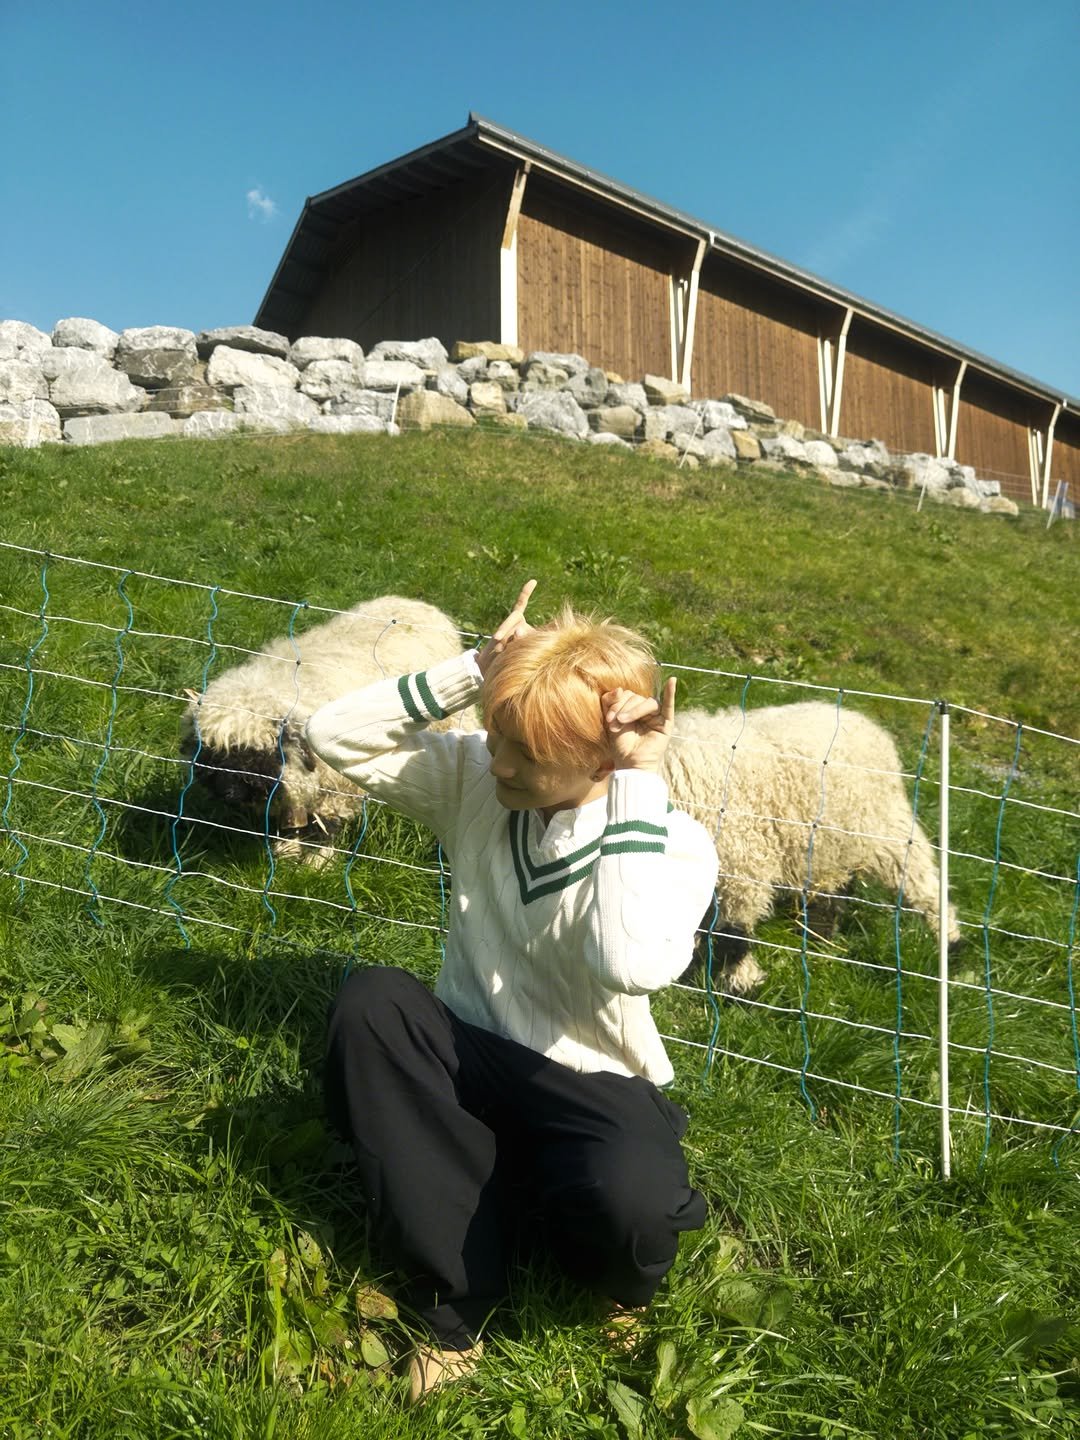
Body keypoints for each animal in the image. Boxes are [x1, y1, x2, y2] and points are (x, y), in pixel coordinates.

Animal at [179, 594, 477, 863]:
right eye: (210, 753)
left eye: (256, 755)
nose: (228, 794)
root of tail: (418, 603)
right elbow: (291, 821)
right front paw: (287, 852)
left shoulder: (337, 789)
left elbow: (323, 828)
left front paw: (316, 864)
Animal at [662, 701, 960, 995]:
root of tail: (864, 723)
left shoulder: (740, 869)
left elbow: (731, 934)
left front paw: (742, 986)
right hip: (828, 844)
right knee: (832, 887)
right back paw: (821, 939)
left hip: (887, 829)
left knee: (923, 884)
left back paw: (950, 943)